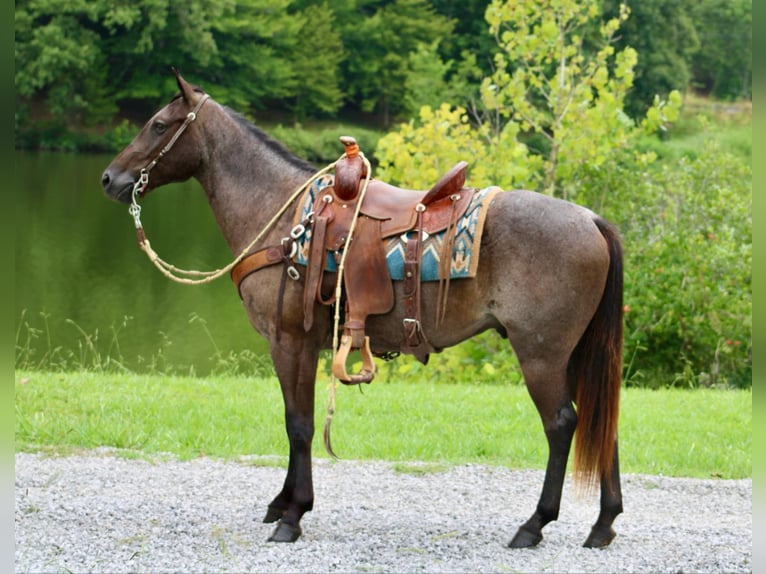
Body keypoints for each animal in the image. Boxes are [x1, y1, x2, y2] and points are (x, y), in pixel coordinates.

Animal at [100, 71, 624, 548]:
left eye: (158, 124)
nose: (109, 178)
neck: (283, 217)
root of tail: (593, 220)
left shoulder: (287, 341)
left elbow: (299, 424)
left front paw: (293, 516)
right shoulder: (307, 346)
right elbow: (298, 419)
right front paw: (282, 504)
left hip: (542, 355)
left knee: (562, 425)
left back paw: (534, 525)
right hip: (576, 355)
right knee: (603, 423)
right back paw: (603, 524)